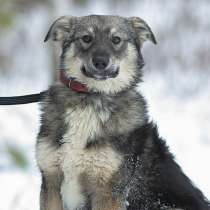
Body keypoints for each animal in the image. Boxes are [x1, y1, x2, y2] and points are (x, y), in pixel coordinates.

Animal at [35, 15, 209, 210]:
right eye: (86, 38)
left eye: (116, 39)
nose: (100, 62)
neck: (93, 97)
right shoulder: (50, 182)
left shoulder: (108, 191)